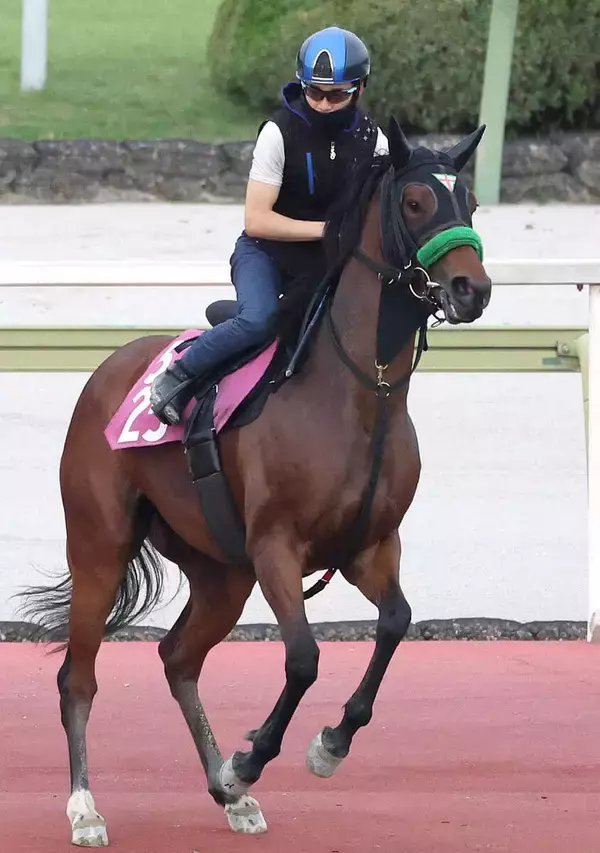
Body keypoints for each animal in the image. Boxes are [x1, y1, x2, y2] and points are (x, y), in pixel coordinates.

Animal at [19, 117, 492, 847]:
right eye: (415, 202)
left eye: (468, 200)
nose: (472, 288)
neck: (360, 393)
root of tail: (109, 368)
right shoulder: (276, 546)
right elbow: (302, 658)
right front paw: (255, 757)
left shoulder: (371, 546)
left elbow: (396, 622)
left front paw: (325, 743)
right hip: (100, 544)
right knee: (80, 676)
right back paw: (87, 806)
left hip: (221, 570)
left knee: (178, 658)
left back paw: (227, 791)